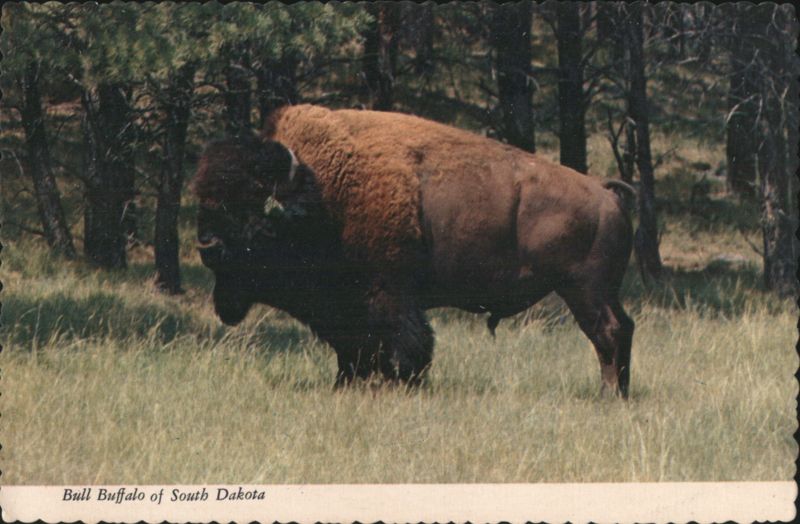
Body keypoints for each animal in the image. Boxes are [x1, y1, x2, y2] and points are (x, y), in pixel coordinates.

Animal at [193, 105, 636, 397]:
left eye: (249, 209)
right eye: (205, 204)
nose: (207, 245)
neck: (322, 193)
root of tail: (604, 193)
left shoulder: (389, 295)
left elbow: (406, 344)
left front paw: (403, 386)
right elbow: (352, 351)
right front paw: (346, 385)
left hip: (583, 290)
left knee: (607, 333)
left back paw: (607, 395)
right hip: (602, 291)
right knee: (623, 328)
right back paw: (620, 393)